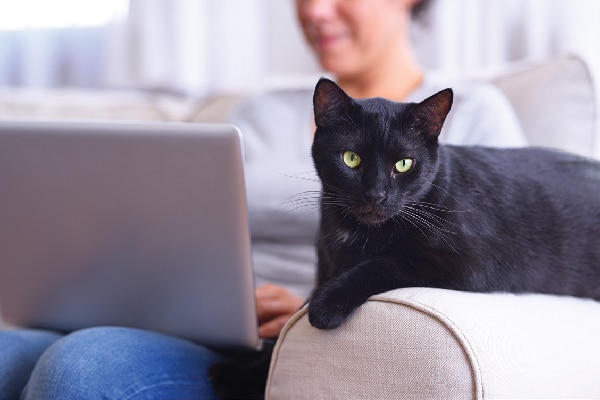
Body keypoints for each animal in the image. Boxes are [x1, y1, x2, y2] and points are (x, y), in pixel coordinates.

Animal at [211, 77, 600, 396]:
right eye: (351, 158)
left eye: (403, 164)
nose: (376, 194)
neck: (356, 234)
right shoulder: (325, 270)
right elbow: (281, 338)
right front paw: (242, 372)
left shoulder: (472, 264)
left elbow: (387, 262)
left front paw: (326, 306)